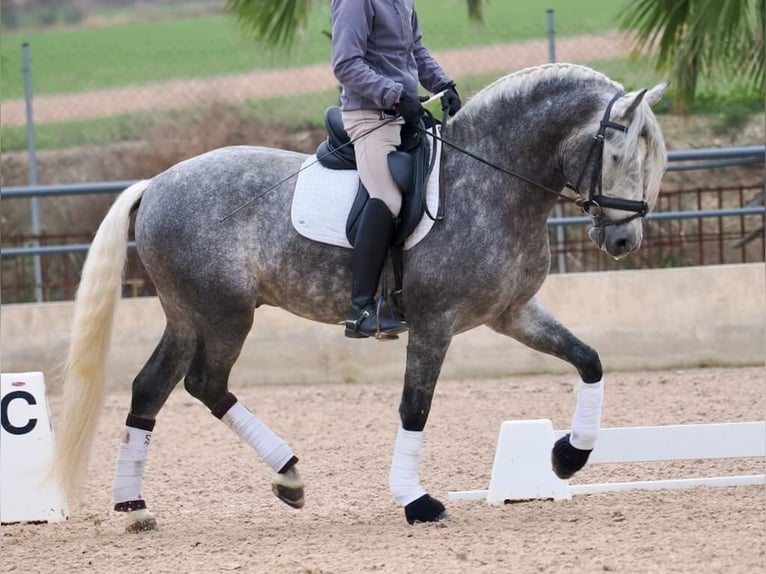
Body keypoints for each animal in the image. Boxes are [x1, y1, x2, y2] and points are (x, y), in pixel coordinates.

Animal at [52, 62, 664, 532]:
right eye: (618, 156)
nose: (623, 242)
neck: (491, 184)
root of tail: (154, 184)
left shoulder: (512, 313)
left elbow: (589, 359)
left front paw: (569, 455)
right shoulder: (436, 322)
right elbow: (415, 407)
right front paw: (417, 502)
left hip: (187, 315)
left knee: (151, 387)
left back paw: (136, 506)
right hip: (224, 314)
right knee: (205, 384)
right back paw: (287, 474)